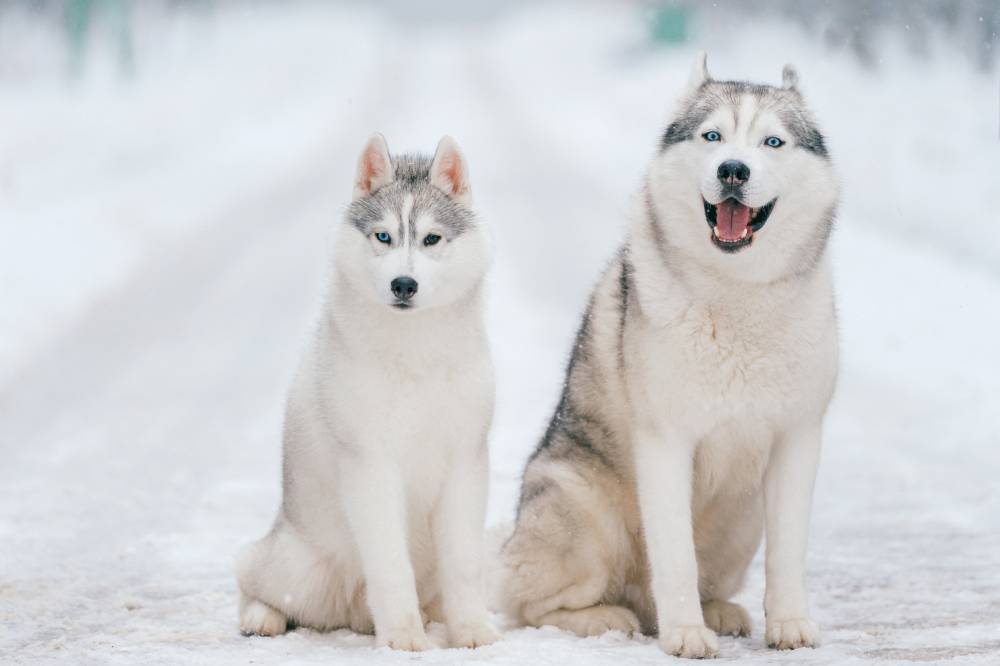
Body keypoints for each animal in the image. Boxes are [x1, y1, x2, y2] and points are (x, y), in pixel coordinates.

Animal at [235, 131, 500, 648]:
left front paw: (472, 632)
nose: (404, 283)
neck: (414, 356)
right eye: (383, 236)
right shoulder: (372, 466)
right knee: (252, 581)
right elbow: (391, 568)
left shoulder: (465, 462)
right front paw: (404, 639)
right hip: (295, 566)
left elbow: (463, 565)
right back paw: (262, 618)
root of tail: (351, 613)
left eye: (431, 238)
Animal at [500, 54, 836, 656]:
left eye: (772, 141)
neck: (735, 296)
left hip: (742, 520)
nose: (733, 170)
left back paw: (719, 611)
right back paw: (608, 619)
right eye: (713, 136)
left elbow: (788, 553)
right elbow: (675, 558)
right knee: (530, 606)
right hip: (586, 514)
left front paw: (789, 624)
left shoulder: (797, 439)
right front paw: (685, 636)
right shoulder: (666, 443)